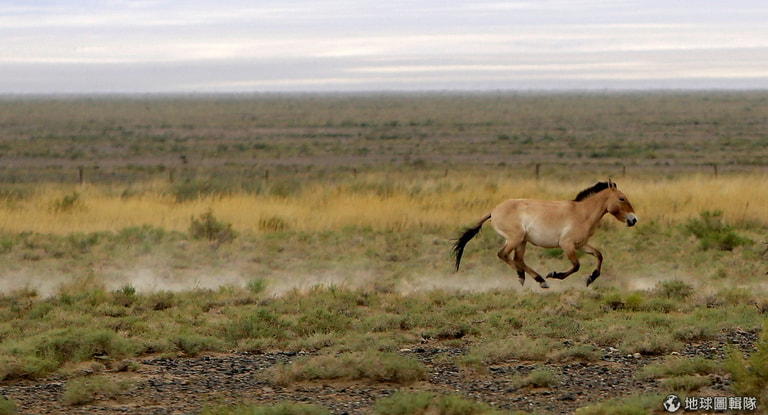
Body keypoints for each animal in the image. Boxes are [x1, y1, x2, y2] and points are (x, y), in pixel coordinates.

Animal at [452, 179, 640, 290]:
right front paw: (555, 274)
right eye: (622, 198)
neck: (582, 213)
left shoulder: (580, 244)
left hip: (522, 241)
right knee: (503, 254)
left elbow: (599, 255)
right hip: (515, 238)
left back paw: (535, 279)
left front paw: (591, 278)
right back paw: (531, 277)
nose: (633, 219)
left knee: (518, 259)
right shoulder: (567, 244)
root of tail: (493, 211)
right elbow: (576, 265)